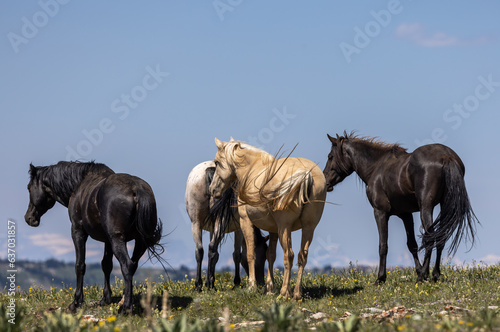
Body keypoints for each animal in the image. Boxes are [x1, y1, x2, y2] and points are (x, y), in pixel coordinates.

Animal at [24, 162, 164, 312]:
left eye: (29, 188)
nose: (29, 218)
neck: (78, 185)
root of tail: (136, 190)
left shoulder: (78, 231)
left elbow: (80, 265)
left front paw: (76, 302)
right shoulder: (107, 240)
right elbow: (106, 265)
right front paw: (105, 298)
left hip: (117, 240)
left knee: (127, 265)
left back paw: (126, 308)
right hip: (139, 242)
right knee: (133, 266)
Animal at [185, 161, 270, 290]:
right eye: (263, 256)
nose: (261, 283)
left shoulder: (212, 228)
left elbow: (216, 255)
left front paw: (208, 281)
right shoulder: (239, 229)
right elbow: (237, 255)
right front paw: (237, 282)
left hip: (196, 223)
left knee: (201, 250)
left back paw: (199, 285)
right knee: (212, 248)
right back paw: (210, 285)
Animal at [208, 138, 328, 300]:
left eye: (217, 162)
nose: (212, 190)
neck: (252, 169)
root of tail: (306, 174)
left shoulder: (246, 222)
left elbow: (250, 253)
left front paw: (252, 287)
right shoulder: (274, 230)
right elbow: (271, 255)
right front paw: (269, 288)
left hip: (285, 227)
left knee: (289, 255)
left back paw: (284, 293)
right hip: (308, 227)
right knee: (302, 256)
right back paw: (297, 294)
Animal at [322, 131, 478, 284]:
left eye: (330, 156)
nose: (325, 181)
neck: (376, 167)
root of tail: (447, 156)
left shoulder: (380, 212)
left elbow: (383, 245)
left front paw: (381, 278)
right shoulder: (405, 214)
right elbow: (412, 245)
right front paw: (418, 271)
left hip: (426, 208)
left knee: (430, 238)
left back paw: (424, 275)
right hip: (444, 205)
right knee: (440, 237)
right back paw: (434, 275)